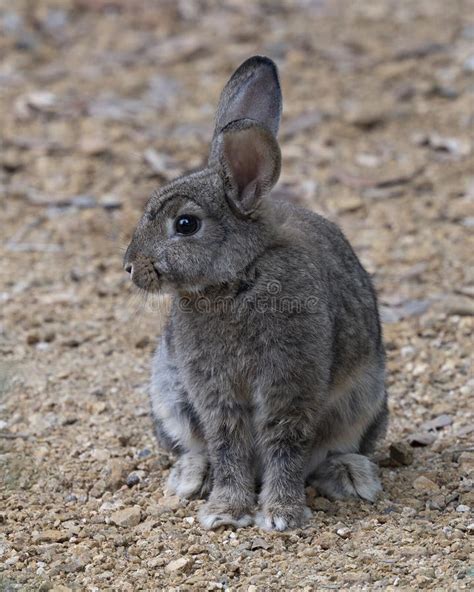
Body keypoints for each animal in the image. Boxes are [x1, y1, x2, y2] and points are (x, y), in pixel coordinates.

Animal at [123, 56, 388, 532]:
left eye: (186, 224)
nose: (131, 267)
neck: (237, 278)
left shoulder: (290, 379)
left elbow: (284, 441)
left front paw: (281, 515)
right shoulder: (214, 388)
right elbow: (228, 442)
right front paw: (226, 512)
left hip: (364, 401)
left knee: (331, 450)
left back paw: (352, 477)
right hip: (169, 395)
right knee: (197, 446)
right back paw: (191, 476)